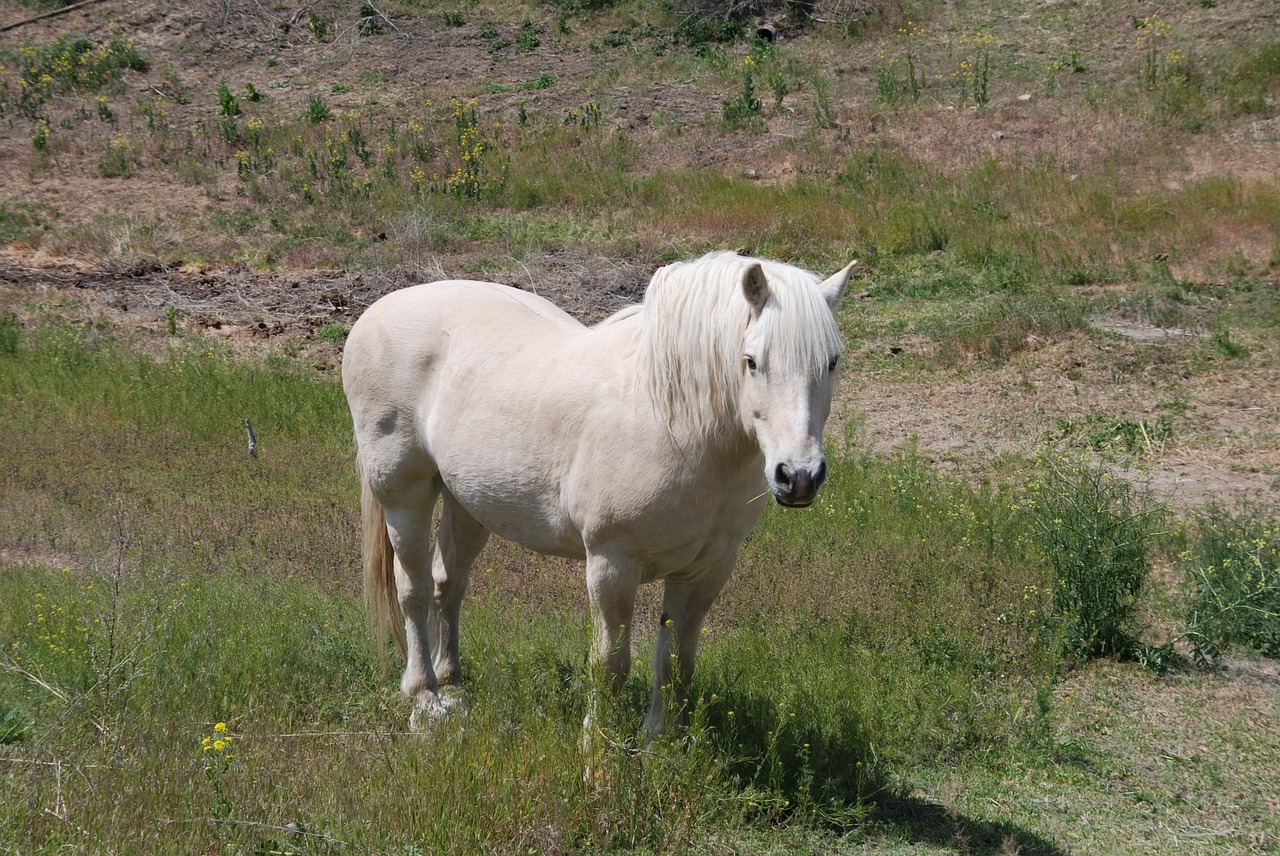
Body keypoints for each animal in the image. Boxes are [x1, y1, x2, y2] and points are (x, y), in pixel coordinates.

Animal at [345, 248, 855, 737]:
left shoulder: (705, 571)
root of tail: (377, 311)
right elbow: (610, 665)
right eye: (752, 361)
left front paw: (658, 745)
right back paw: (425, 700)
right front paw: (598, 748)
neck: (673, 422)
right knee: (413, 589)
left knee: (448, 583)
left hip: (467, 502)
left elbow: (676, 664)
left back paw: (453, 688)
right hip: (403, 494)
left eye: (831, 362)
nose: (799, 476)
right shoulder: (612, 566)